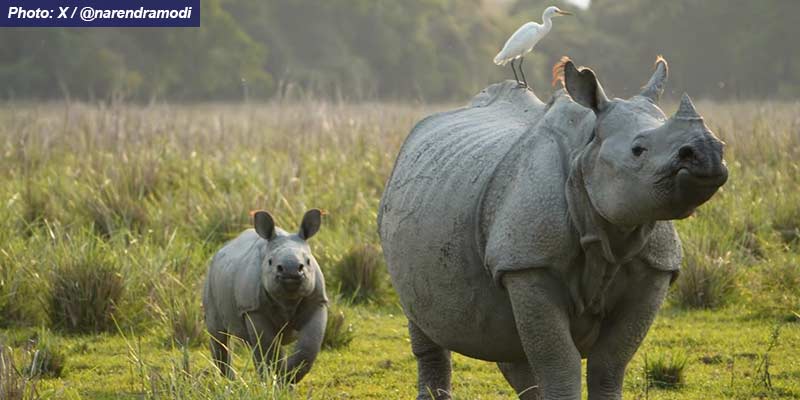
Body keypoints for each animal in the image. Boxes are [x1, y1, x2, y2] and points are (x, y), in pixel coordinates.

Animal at [203, 209, 327, 383]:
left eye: (308, 261)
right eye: (270, 262)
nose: (291, 271)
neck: (287, 300)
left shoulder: (317, 301)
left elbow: (308, 348)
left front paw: (287, 378)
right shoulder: (253, 308)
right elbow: (268, 350)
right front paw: (276, 381)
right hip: (210, 280)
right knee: (219, 335)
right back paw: (233, 382)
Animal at [378, 57, 727, 399]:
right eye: (637, 150)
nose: (708, 153)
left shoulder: (656, 266)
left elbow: (609, 363)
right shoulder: (529, 263)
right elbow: (560, 362)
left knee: (514, 347)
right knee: (425, 326)